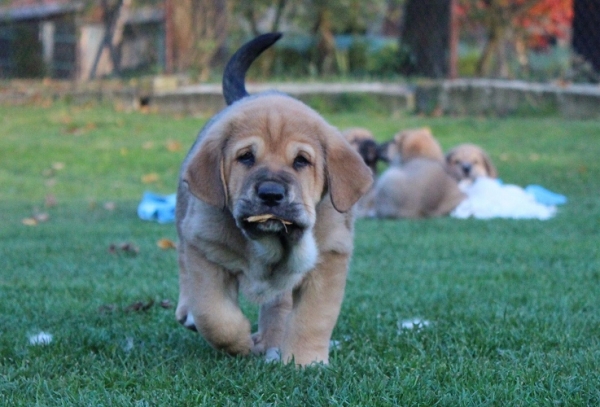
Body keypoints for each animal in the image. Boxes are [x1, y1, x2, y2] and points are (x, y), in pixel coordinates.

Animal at [173, 33, 372, 368]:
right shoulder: (205, 248)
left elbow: (312, 318)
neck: (270, 246)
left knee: (278, 306)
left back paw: (273, 341)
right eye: (246, 157)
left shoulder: (329, 258)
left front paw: (305, 362)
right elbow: (215, 316)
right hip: (184, 220)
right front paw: (240, 343)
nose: (270, 194)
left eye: (301, 161)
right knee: (184, 267)